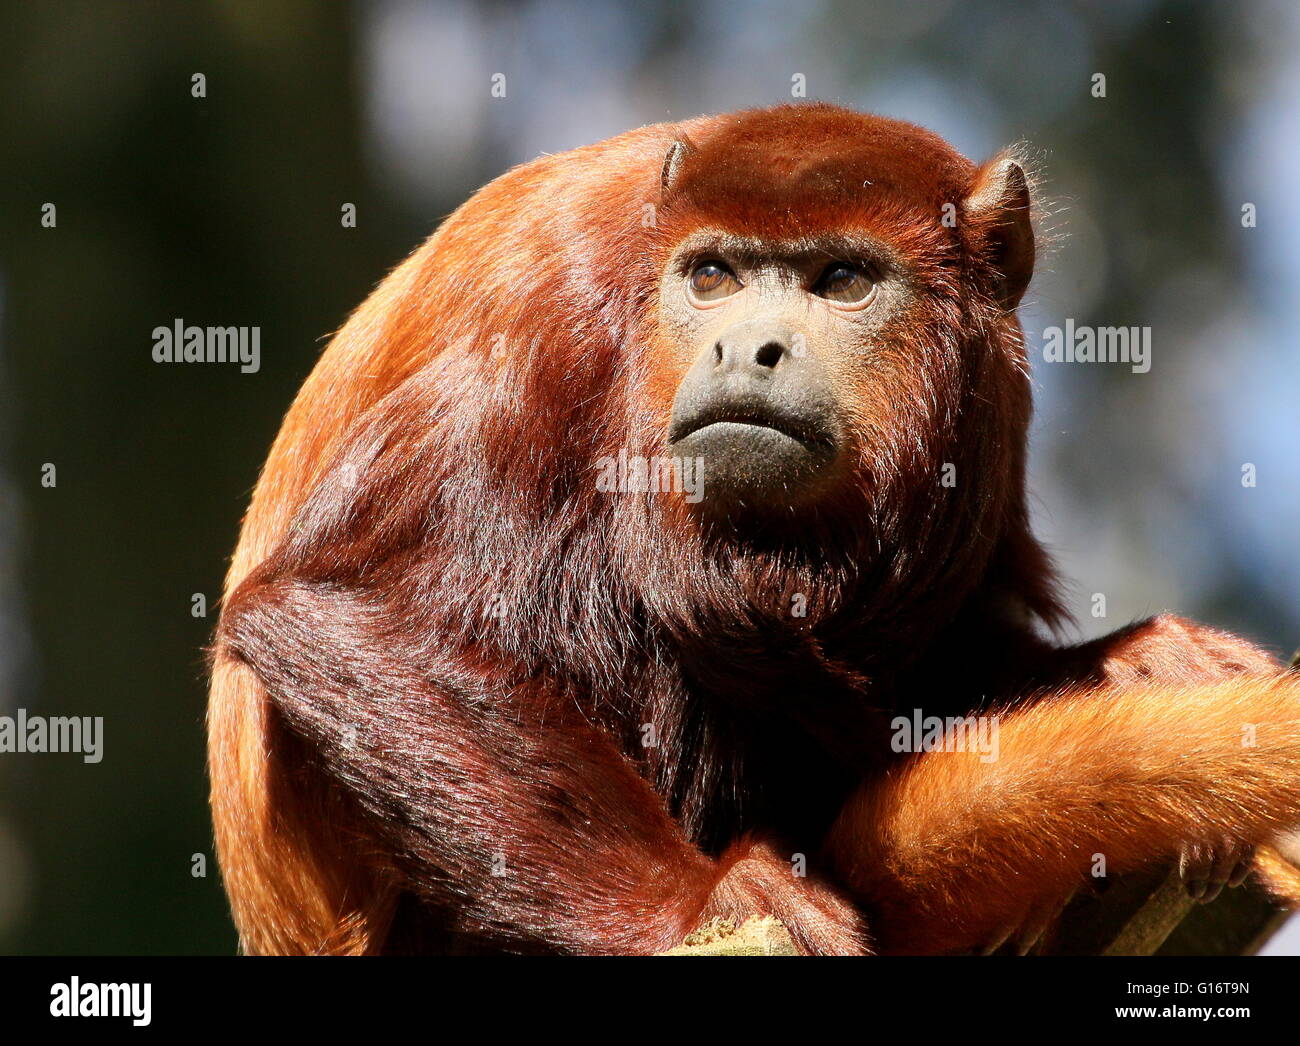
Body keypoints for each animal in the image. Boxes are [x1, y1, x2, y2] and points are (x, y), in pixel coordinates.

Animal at [208, 103, 1300, 956]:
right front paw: (700, 902)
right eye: (713, 278)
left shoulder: (996, 390)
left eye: (843, 280)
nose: (746, 346)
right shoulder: (550, 319)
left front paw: (1128, 661)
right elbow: (338, 603)